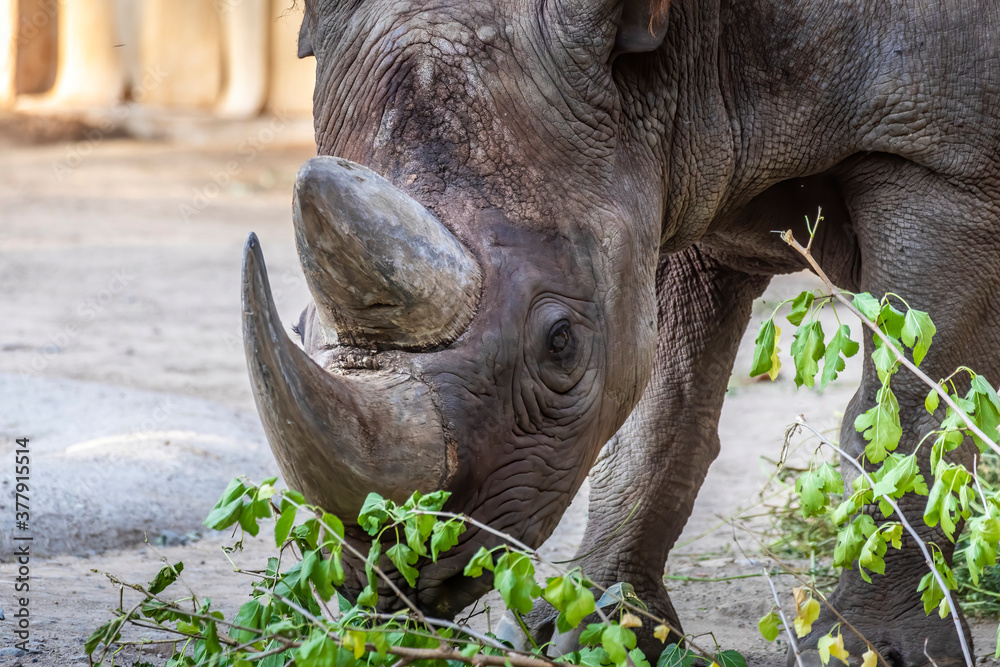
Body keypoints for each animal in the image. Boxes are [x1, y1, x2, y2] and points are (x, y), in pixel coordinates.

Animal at [241, 0, 1000, 664]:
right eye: (303, 326)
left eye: (561, 344)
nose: (391, 576)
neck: (685, 53)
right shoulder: (679, 163)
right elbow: (659, 411)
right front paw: (587, 628)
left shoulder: (949, 167)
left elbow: (907, 413)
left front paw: (873, 651)